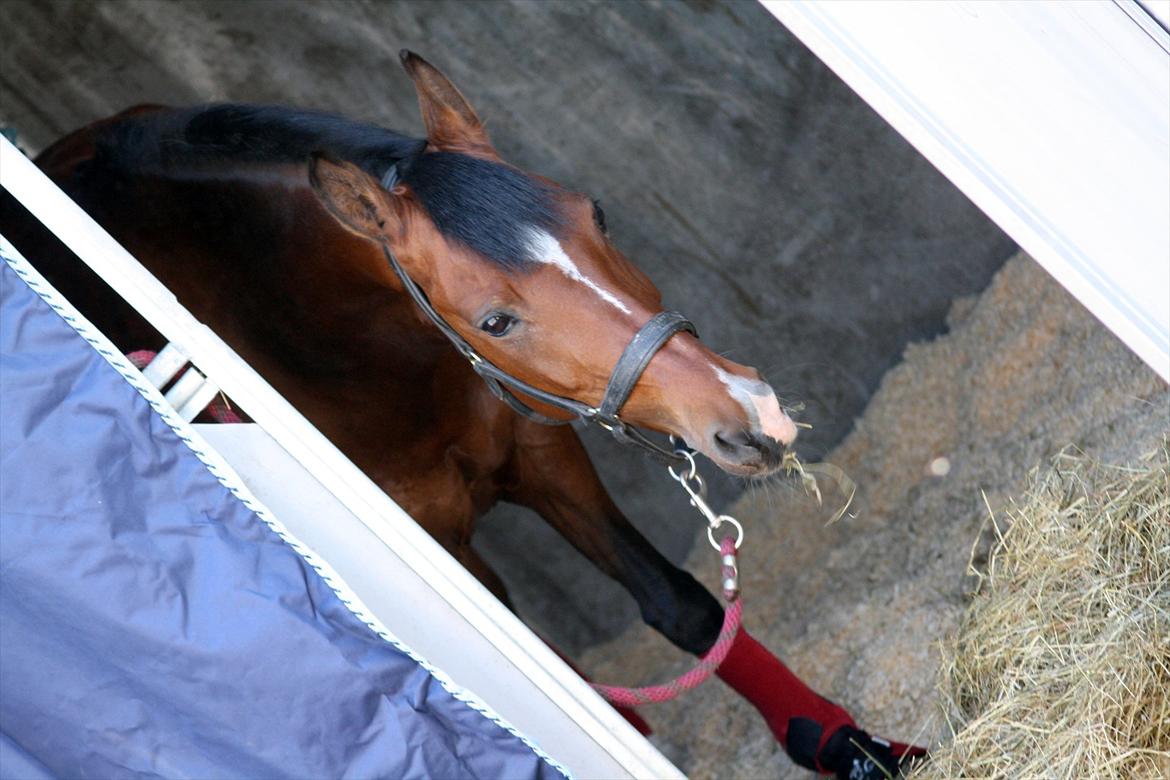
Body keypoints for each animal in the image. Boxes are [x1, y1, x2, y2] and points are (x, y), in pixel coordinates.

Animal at [0, 51, 926, 776]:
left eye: (597, 212)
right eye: (495, 320)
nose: (750, 412)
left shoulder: (542, 458)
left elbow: (684, 607)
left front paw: (849, 747)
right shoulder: (442, 546)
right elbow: (561, 677)